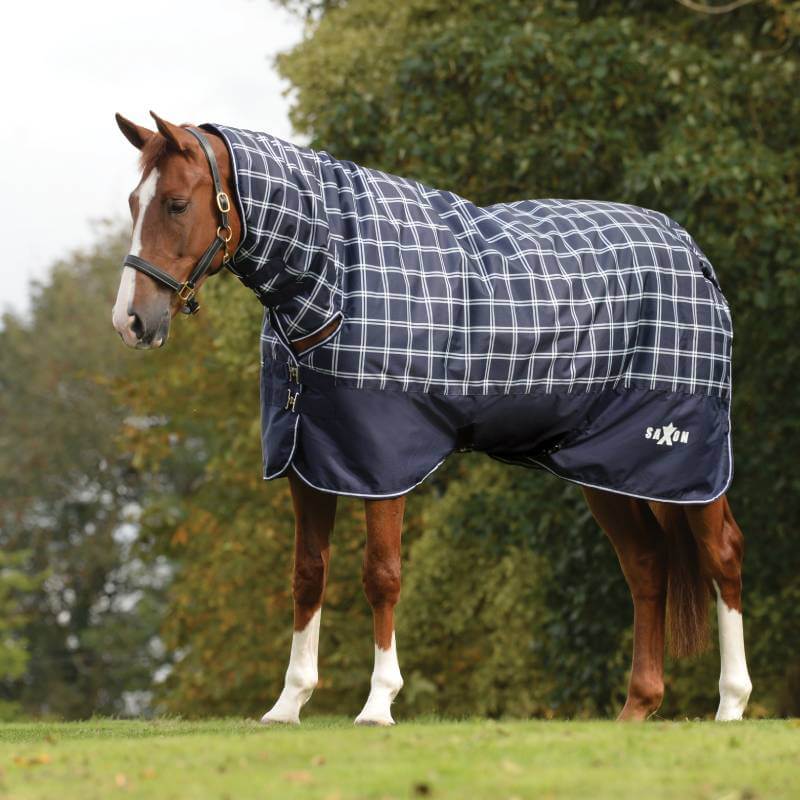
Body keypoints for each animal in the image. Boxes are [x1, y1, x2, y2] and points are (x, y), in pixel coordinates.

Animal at [111, 111, 752, 725]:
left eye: (176, 204)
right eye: (133, 203)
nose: (131, 321)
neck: (335, 275)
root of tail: (692, 254)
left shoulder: (383, 463)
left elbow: (381, 574)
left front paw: (378, 704)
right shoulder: (307, 461)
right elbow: (308, 575)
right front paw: (287, 705)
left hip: (684, 460)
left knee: (722, 554)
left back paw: (731, 705)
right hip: (608, 468)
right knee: (646, 566)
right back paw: (637, 707)